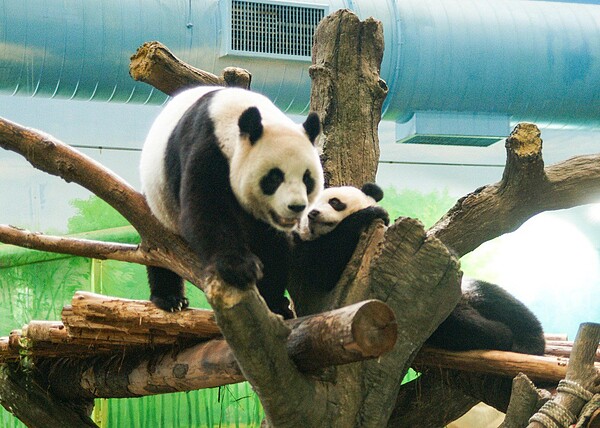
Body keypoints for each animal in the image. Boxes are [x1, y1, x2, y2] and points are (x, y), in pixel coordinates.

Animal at [140, 86, 324, 318]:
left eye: (307, 178)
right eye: (274, 177)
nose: (296, 207)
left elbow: (274, 244)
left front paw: (274, 302)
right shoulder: (207, 147)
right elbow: (206, 210)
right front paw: (240, 268)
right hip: (158, 203)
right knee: (160, 247)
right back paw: (170, 299)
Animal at [292, 184, 548, 354]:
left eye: (334, 202)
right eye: (306, 207)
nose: (313, 214)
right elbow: (323, 271)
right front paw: (368, 214)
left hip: (469, 290)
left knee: (505, 304)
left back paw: (529, 342)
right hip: (436, 315)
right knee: (464, 327)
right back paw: (502, 335)